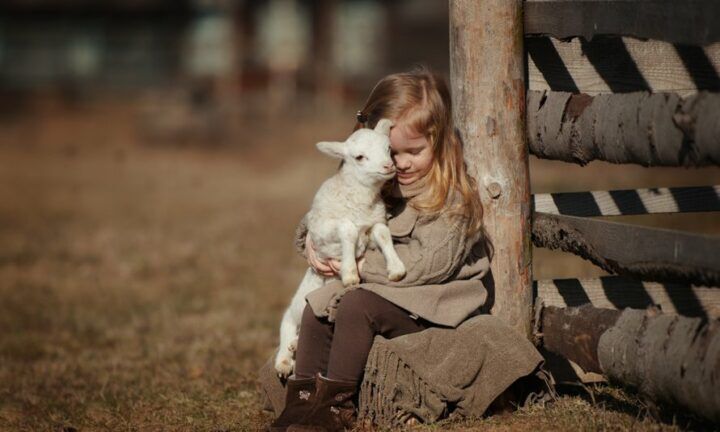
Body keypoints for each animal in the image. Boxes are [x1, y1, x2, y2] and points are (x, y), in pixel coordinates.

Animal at [276, 119, 408, 378]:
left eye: (388, 148)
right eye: (359, 157)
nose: (388, 166)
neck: (360, 200)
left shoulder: (374, 223)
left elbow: (383, 234)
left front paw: (396, 269)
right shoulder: (321, 232)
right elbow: (347, 228)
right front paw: (349, 274)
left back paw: (294, 347)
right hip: (297, 307)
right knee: (286, 324)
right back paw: (284, 361)